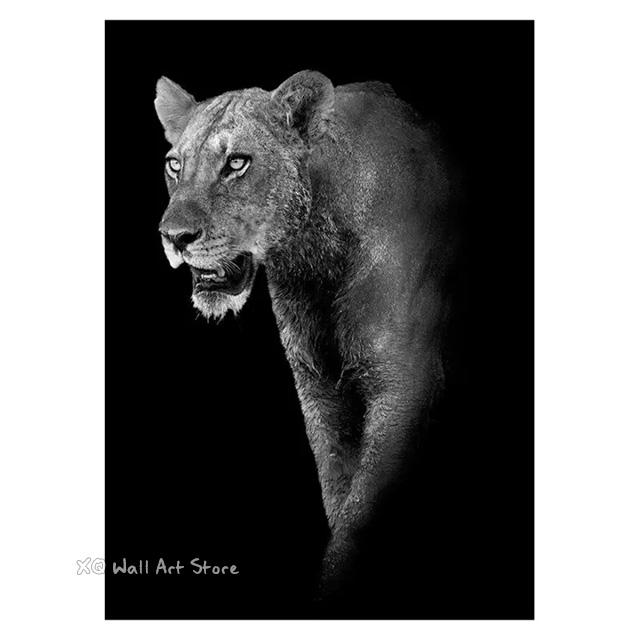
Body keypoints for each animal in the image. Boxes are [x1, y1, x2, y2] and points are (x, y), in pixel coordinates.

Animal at [155, 70, 453, 606]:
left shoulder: (405, 382)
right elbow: (338, 489)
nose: (174, 236)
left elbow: (360, 512)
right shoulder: (318, 386)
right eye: (174, 164)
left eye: (236, 163)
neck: (314, 257)